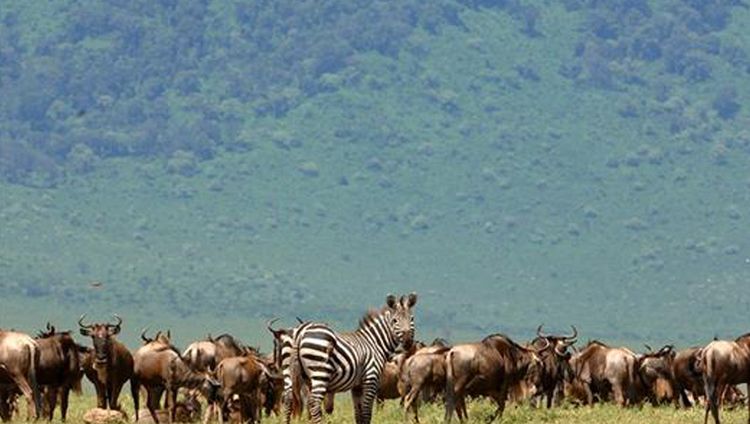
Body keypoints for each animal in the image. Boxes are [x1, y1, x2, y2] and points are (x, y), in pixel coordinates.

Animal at [284, 294, 420, 422]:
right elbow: (366, 413)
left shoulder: (357, 387)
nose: (408, 342)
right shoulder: (371, 379)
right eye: (395, 320)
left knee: (289, 400)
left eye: (412, 319)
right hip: (320, 373)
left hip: (290, 371)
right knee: (314, 403)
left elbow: (358, 414)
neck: (374, 343)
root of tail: (302, 330)